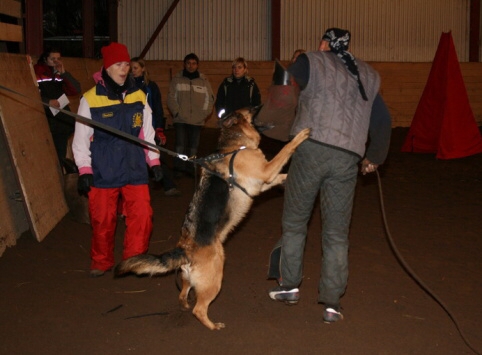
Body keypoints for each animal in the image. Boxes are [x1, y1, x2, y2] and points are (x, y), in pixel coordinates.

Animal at [115, 109, 310, 330]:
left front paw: (287, 178)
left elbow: (281, 174)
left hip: (189, 278)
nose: (257, 106)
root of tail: (184, 249)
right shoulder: (266, 171)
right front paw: (301, 136)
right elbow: (285, 150)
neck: (235, 145)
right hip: (215, 278)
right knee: (199, 310)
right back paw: (213, 325)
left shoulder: (263, 181)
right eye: (247, 109)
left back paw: (185, 305)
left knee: (184, 293)